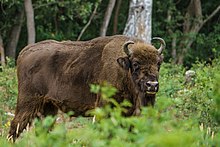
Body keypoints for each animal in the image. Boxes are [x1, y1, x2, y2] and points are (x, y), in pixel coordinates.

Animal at [7, 34, 164, 140]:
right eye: (136, 63)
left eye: (158, 63)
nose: (152, 85)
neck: (123, 70)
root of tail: (24, 52)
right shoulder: (105, 108)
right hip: (27, 102)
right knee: (16, 126)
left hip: (48, 106)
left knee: (43, 129)